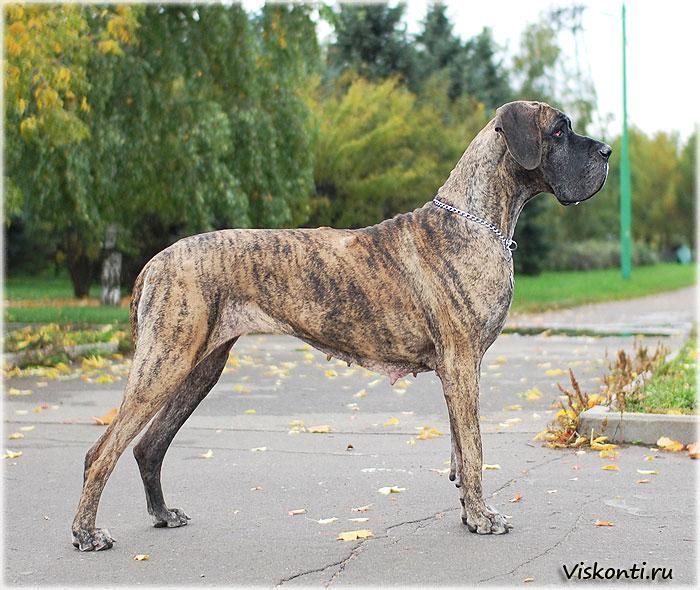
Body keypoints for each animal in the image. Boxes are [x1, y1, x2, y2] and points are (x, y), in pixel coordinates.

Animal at [72, 100, 610, 550]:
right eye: (559, 131)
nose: (607, 151)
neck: (476, 218)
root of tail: (154, 261)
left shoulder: (457, 372)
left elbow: (460, 449)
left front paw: (467, 512)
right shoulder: (462, 365)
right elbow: (475, 450)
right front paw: (483, 518)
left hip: (199, 367)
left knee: (149, 445)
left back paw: (162, 515)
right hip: (166, 361)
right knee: (103, 451)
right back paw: (87, 534)